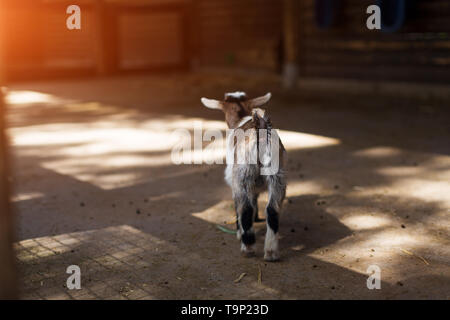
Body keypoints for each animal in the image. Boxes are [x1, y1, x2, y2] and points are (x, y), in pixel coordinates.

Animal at [201, 91, 286, 262]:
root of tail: (260, 126)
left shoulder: (234, 179)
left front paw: (240, 233)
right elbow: (255, 200)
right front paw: (256, 219)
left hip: (242, 173)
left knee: (245, 208)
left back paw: (248, 247)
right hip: (276, 174)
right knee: (272, 209)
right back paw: (271, 252)